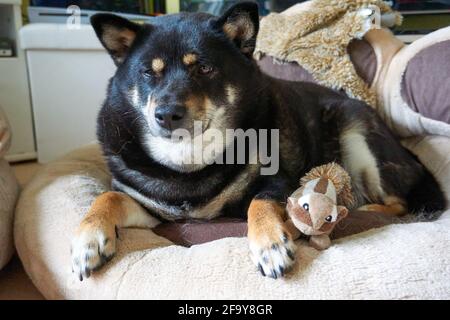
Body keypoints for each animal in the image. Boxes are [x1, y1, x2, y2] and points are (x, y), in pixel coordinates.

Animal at [71, 2, 446, 280]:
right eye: (149, 72)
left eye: (204, 68)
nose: (166, 114)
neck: (190, 160)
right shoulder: (153, 210)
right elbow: (107, 196)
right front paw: (87, 242)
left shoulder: (281, 182)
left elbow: (260, 201)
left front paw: (270, 246)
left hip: (356, 133)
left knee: (399, 203)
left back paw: (364, 209)